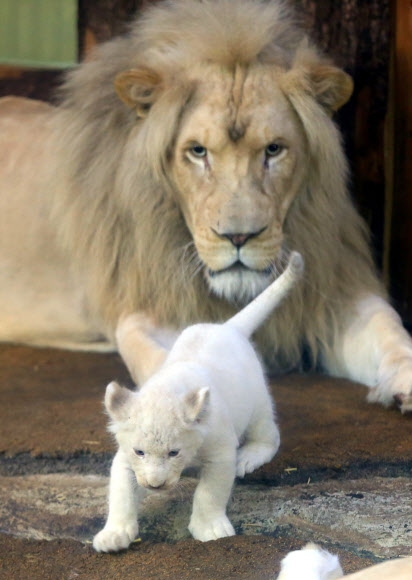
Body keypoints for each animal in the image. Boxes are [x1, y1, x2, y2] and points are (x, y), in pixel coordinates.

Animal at [0, 0, 412, 408]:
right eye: (198, 151)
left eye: (273, 149)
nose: (239, 238)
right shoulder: (149, 307)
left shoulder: (330, 295)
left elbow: (388, 325)